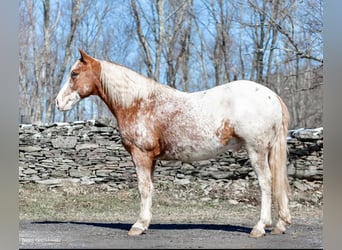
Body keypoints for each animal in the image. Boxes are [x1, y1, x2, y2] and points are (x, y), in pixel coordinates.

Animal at [56, 49, 292, 238]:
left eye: (74, 74)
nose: (58, 102)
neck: (138, 103)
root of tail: (271, 95)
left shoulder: (140, 155)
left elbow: (143, 188)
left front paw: (138, 226)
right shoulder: (151, 159)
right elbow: (149, 188)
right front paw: (145, 223)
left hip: (256, 151)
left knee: (266, 183)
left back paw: (260, 227)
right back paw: (280, 224)